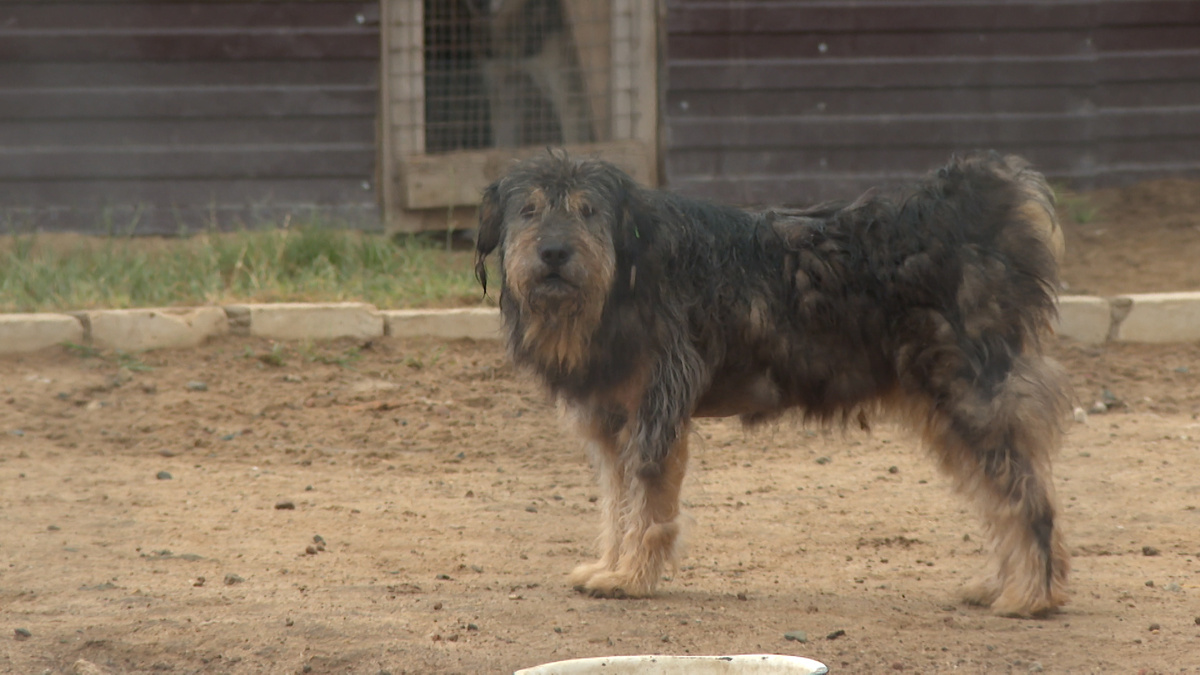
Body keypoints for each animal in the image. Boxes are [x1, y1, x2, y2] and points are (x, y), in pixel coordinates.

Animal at [472, 151, 1075, 614]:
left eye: (588, 210)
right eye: (529, 210)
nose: (553, 252)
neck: (625, 276)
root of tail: (966, 217)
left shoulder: (656, 413)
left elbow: (647, 503)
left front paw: (632, 577)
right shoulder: (614, 423)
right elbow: (618, 503)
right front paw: (611, 565)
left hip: (970, 399)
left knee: (1025, 497)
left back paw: (1031, 595)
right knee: (999, 497)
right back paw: (1003, 584)